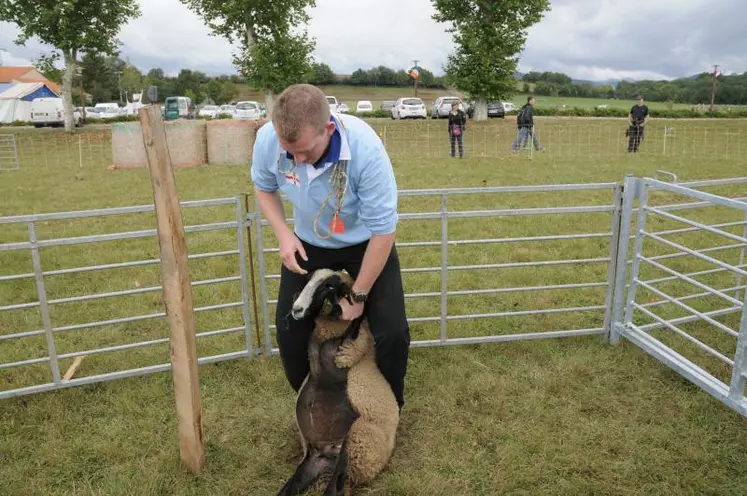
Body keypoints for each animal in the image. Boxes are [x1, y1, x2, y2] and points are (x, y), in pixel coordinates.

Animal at [276, 270, 404, 494]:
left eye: (328, 286)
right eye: (307, 280)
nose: (297, 309)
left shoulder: (345, 349)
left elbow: (356, 323)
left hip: (353, 444)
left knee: (333, 490)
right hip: (313, 462)